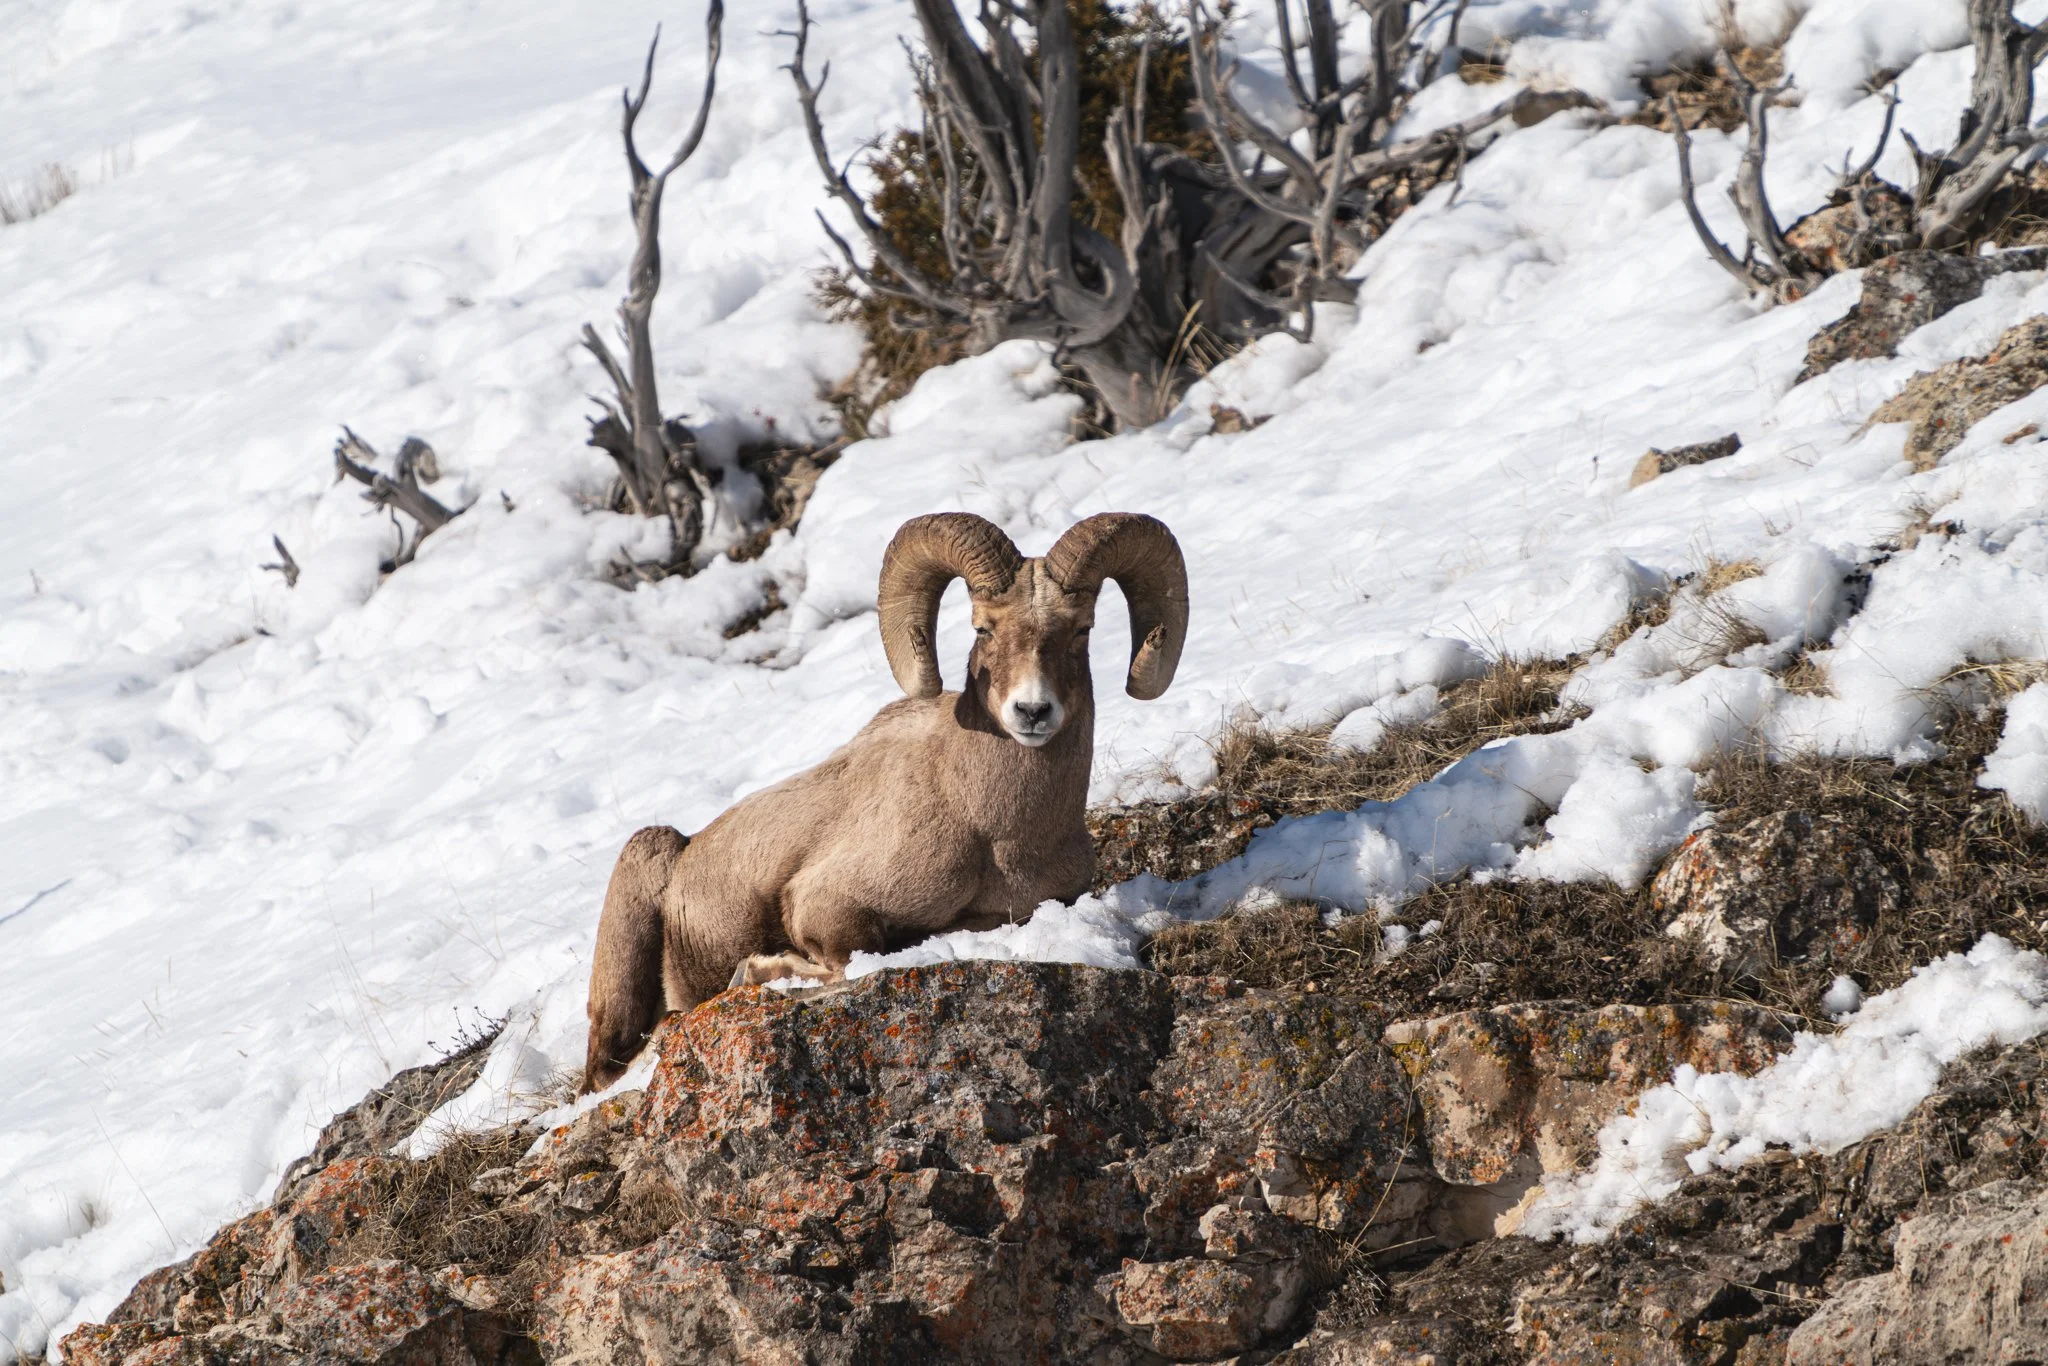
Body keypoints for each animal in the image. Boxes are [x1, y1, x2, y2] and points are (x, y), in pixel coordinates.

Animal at [581, 511, 1188, 1090]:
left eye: (1082, 629)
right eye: (983, 627)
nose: (1033, 712)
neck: (994, 833)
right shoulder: (824, 906)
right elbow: (851, 963)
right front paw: (759, 970)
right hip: (639, 888)